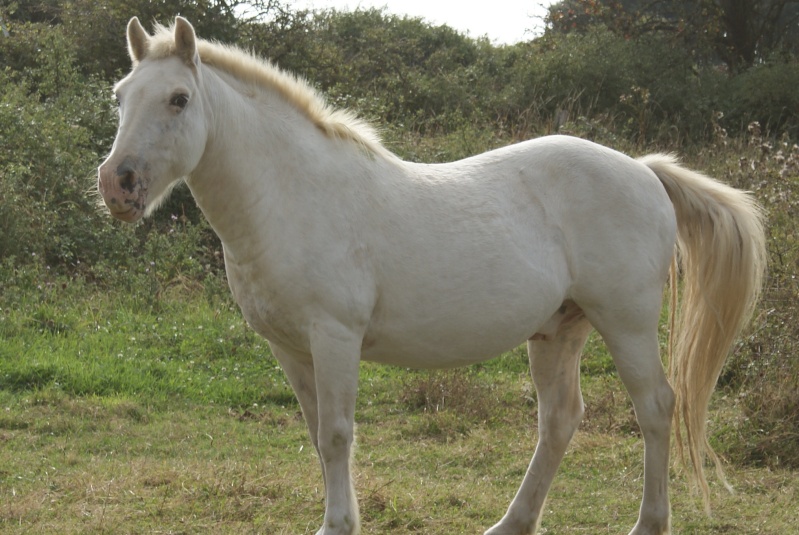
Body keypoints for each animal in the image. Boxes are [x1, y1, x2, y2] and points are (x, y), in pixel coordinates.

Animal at [98, 16, 768, 535]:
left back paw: (648, 522)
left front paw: (337, 524)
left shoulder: (334, 336)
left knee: (656, 407)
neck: (292, 195)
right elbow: (317, 434)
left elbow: (336, 434)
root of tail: (645, 170)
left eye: (179, 99)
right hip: (559, 329)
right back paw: (512, 522)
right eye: (120, 95)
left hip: (625, 323)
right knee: (559, 421)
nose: (117, 184)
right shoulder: (289, 347)